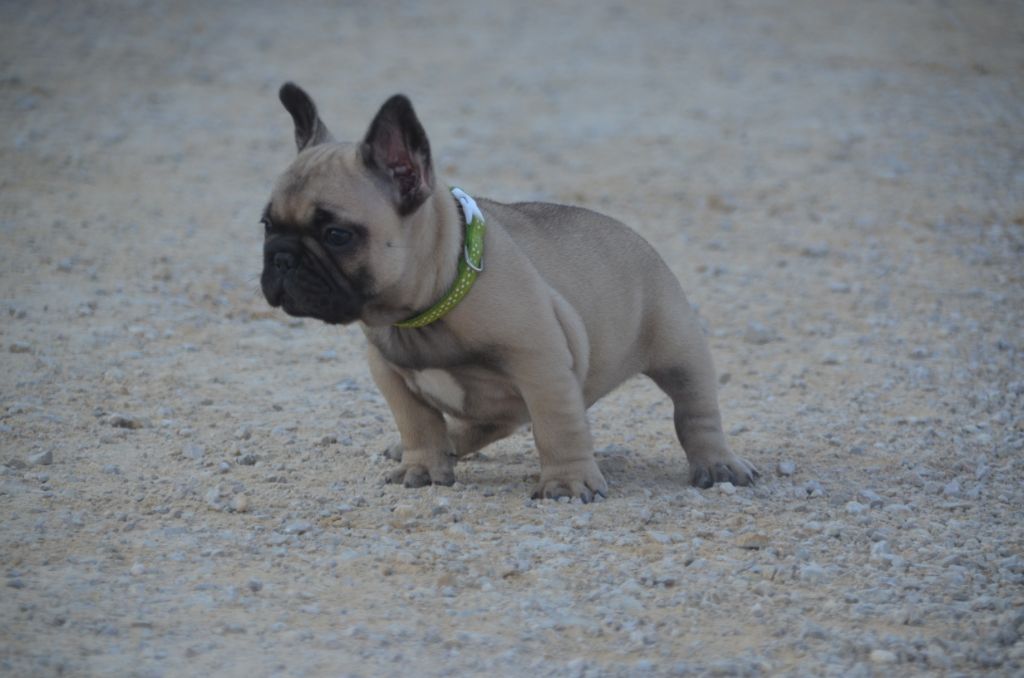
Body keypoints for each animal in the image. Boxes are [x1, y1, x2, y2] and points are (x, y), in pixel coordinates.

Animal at [260, 83, 757, 501]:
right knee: (481, 424)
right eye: (266, 224)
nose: (281, 257)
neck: (427, 310)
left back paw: (718, 465)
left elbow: (557, 427)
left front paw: (568, 483)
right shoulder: (389, 373)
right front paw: (422, 466)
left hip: (678, 348)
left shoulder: (541, 367)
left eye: (337, 235)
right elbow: (418, 423)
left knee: (694, 410)